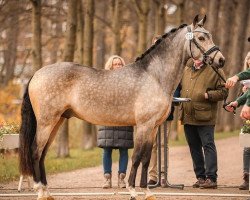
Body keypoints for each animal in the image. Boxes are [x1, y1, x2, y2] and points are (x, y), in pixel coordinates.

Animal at [19, 15, 225, 200]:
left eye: (209, 35)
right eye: (201, 38)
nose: (221, 60)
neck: (153, 76)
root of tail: (36, 74)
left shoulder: (153, 128)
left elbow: (146, 158)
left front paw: (147, 192)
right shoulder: (143, 125)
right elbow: (137, 157)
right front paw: (132, 190)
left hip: (57, 121)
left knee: (43, 153)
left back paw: (47, 192)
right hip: (47, 122)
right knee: (36, 151)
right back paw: (40, 191)